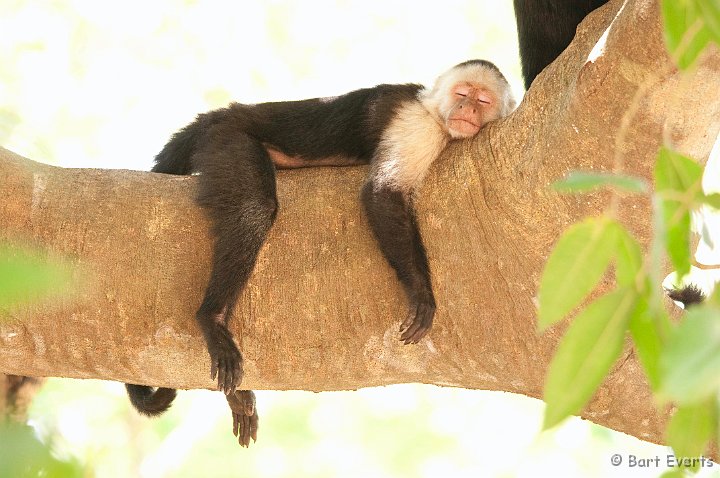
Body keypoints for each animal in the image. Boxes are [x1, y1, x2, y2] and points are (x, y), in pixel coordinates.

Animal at [126, 60, 516, 448]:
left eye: (482, 99)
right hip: (228, 138)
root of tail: (224, 113)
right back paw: (212, 318)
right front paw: (421, 293)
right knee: (254, 207)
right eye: (462, 93)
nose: (466, 108)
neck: (437, 114)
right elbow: (382, 194)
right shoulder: (418, 125)